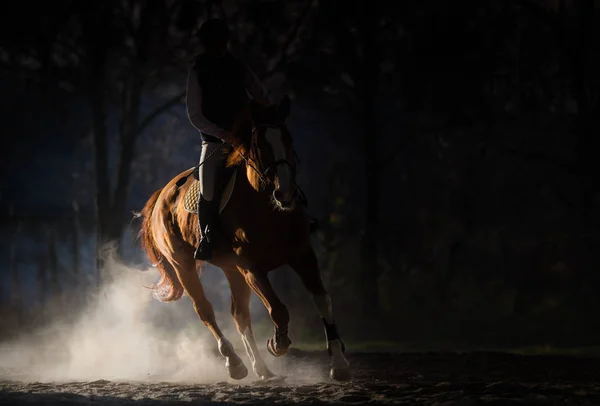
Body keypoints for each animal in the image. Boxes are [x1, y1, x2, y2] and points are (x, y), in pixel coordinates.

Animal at [138, 97, 350, 380]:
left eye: (289, 139)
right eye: (260, 145)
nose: (285, 194)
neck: (267, 208)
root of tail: (163, 192)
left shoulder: (303, 255)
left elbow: (322, 300)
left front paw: (339, 364)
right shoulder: (252, 267)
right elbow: (278, 309)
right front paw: (277, 344)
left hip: (231, 268)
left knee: (239, 314)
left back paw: (263, 370)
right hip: (184, 265)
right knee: (205, 310)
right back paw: (235, 363)